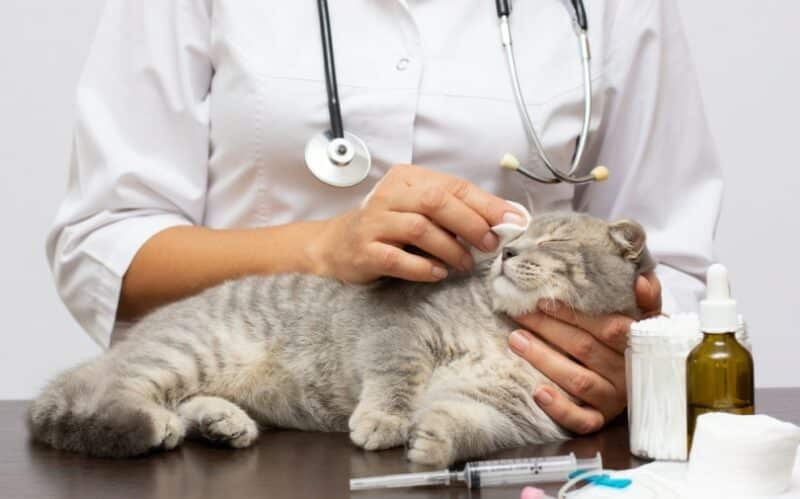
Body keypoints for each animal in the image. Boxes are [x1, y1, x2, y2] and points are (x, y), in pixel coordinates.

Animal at [31, 213, 656, 466]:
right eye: (513, 236)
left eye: (552, 239)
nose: (505, 252)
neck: (503, 329)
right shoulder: (402, 329)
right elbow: (395, 374)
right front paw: (385, 419)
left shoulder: (514, 413)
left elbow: (471, 426)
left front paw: (435, 439)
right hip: (185, 353)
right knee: (106, 396)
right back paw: (143, 422)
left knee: (179, 404)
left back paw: (219, 421)